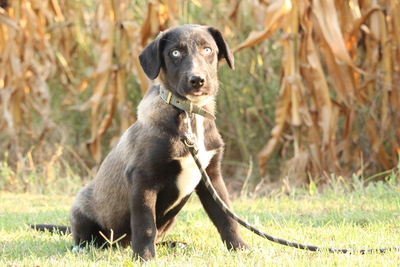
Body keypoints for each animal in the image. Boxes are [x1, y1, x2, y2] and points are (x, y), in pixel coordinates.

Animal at [32, 24, 248, 260]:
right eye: (175, 53)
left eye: (208, 50)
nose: (197, 80)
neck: (188, 115)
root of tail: (120, 244)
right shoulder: (143, 178)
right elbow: (145, 224)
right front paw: (144, 257)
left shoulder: (211, 175)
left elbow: (226, 218)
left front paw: (240, 248)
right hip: (82, 206)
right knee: (87, 237)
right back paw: (83, 247)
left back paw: (174, 244)